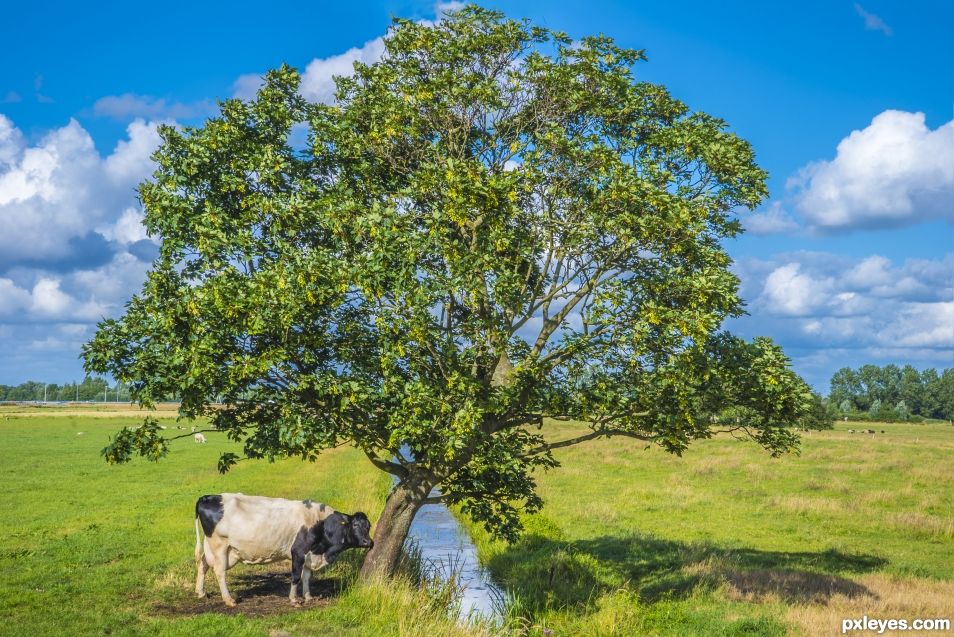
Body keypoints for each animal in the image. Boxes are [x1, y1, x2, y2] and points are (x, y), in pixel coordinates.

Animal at [192, 494, 372, 604]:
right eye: (355, 525)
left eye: (368, 526)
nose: (369, 542)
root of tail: (208, 497)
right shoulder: (298, 551)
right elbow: (296, 576)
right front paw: (293, 599)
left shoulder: (310, 554)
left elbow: (307, 576)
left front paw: (308, 596)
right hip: (220, 546)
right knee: (219, 571)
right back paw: (229, 600)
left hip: (218, 548)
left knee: (203, 563)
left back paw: (200, 592)